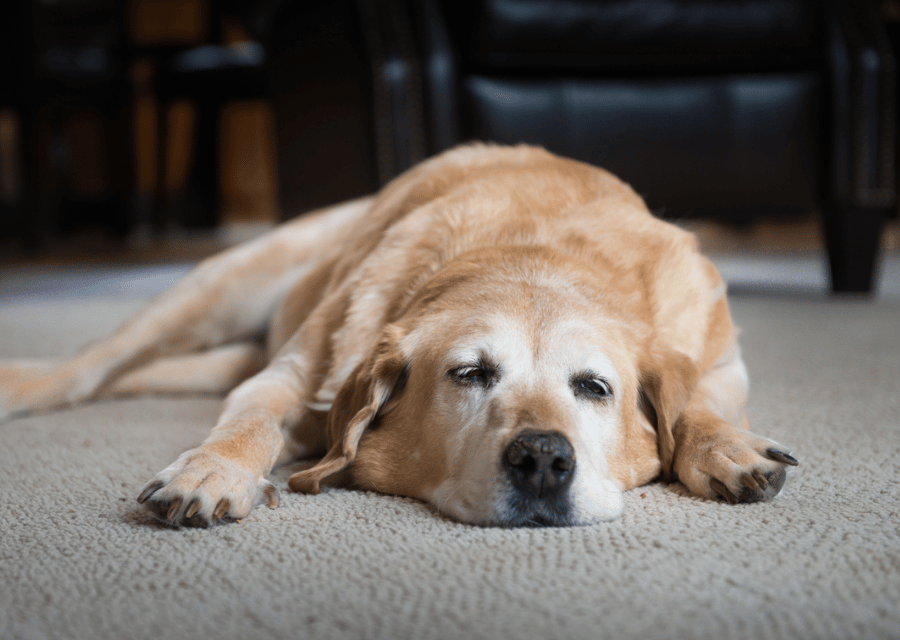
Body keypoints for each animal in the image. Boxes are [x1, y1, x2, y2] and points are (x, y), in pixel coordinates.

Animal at [0, 146, 800, 528]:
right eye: (470, 374)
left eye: (594, 387)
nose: (543, 459)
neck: (530, 252)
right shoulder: (289, 377)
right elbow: (250, 422)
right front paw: (212, 472)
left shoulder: (722, 359)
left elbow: (698, 404)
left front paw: (726, 448)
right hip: (220, 286)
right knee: (92, 365)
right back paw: (24, 384)